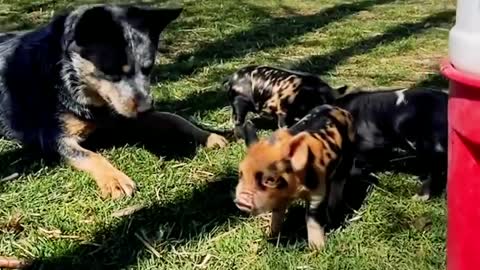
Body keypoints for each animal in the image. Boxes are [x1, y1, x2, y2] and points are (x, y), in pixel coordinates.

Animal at [0, 3, 228, 198]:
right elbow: (89, 155)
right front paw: (115, 179)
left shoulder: (124, 115)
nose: (146, 109)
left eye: (148, 68)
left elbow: (174, 117)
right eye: (112, 72)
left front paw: (208, 135)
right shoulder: (53, 137)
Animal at [234, 104, 354, 249]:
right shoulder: (278, 198)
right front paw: (272, 235)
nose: (241, 200)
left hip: (347, 159)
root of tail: (339, 109)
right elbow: (277, 215)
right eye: (241, 173)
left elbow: (312, 218)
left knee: (339, 184)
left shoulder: (318, 192)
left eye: (270, 180)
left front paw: (317, 249)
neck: (293, 191)